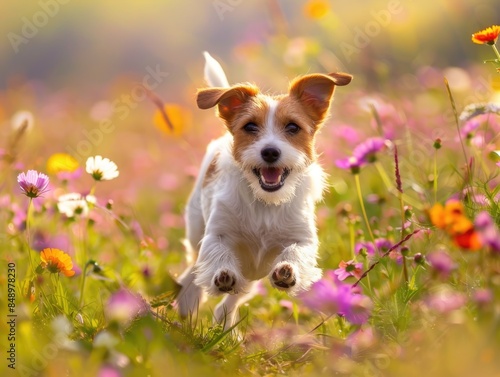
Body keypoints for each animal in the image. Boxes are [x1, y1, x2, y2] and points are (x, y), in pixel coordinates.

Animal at [177, 51, 352, 328]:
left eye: (292, 127)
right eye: (250, 126)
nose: (270, 152)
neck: (265, 202)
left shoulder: (302, 237)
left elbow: (297, 251)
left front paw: (287, 271)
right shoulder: (216, 234)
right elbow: (218, 253)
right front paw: (222, 274)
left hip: (250, 277)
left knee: (231, 301)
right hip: (196, 232)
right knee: (192, 270)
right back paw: (188, 301)